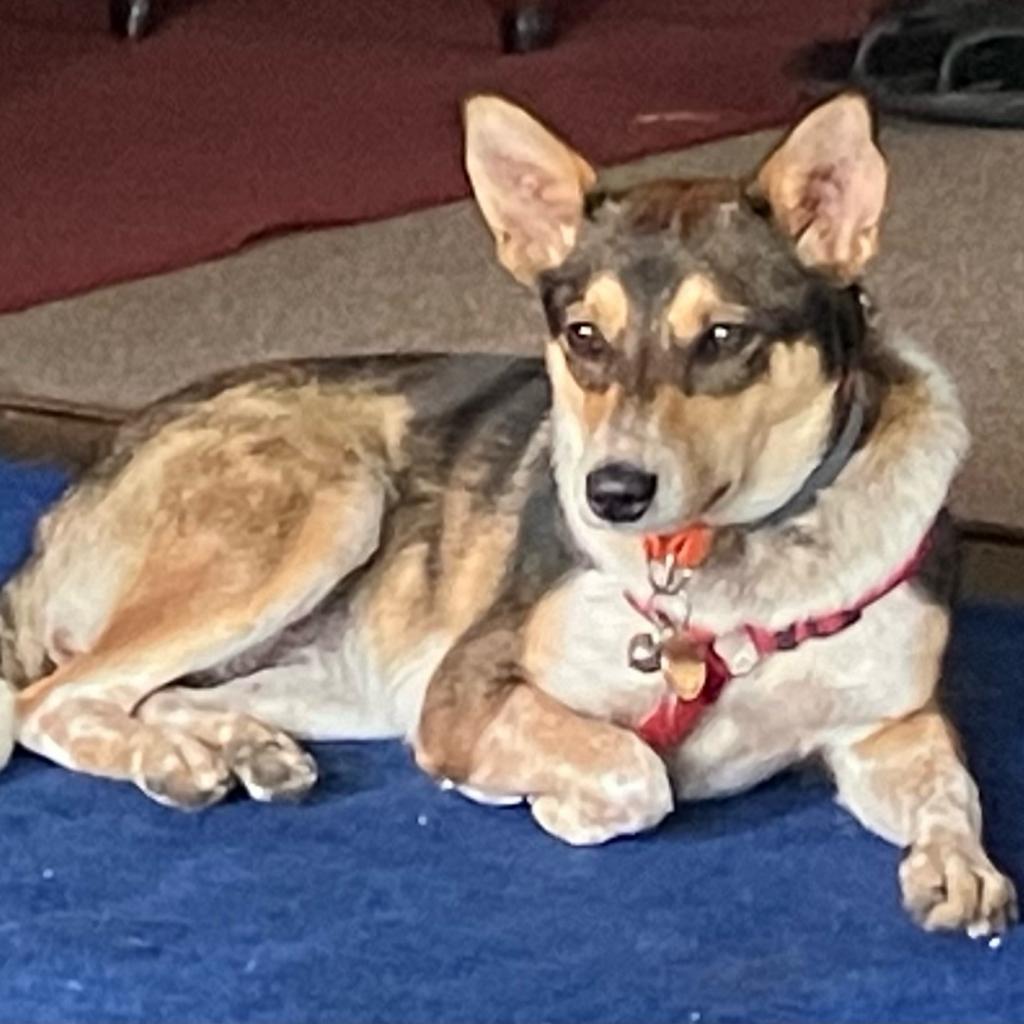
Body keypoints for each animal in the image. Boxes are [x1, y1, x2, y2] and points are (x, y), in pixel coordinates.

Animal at [0, 92, 1011, 933]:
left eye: (724, 336)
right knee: (55, 700)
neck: (723, 571)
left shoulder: (892, 728)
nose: (611, 494)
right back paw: (170, 762)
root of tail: (70, 500)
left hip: (331, 668)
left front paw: (960, 868)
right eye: (583, 336)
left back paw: (245, 747)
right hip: (324, 510)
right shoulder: (465, 697)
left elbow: (953, 792)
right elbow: (633, 771)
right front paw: (553, 804)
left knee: (154, 693)